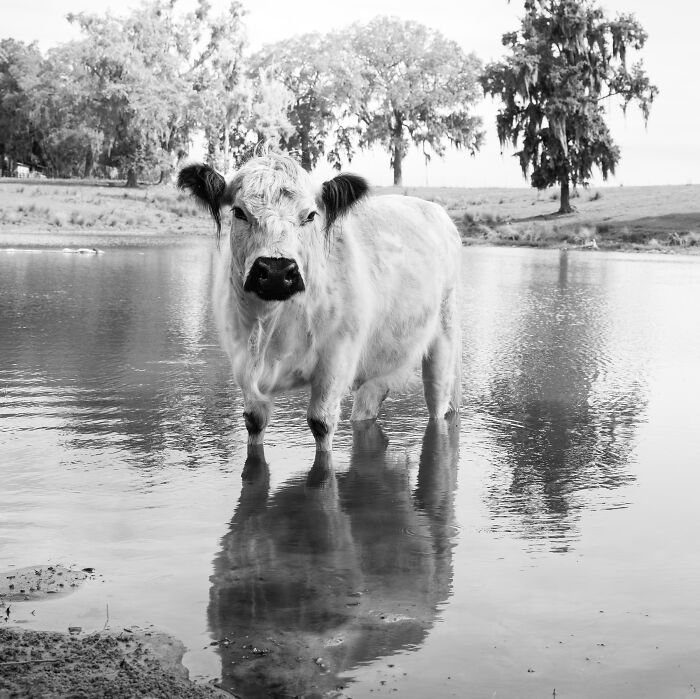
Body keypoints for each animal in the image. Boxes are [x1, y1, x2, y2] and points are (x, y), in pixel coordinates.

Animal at [178, 151, 461, 453]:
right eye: (239, 212)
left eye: (310, 215)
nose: (276, 271)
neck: (274, 327)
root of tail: (433, 209)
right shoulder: (244, 365)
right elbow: (254, 422)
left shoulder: (335, 363)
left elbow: (321, 424)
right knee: (367, 408)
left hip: (444, 341)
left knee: (438, 402)